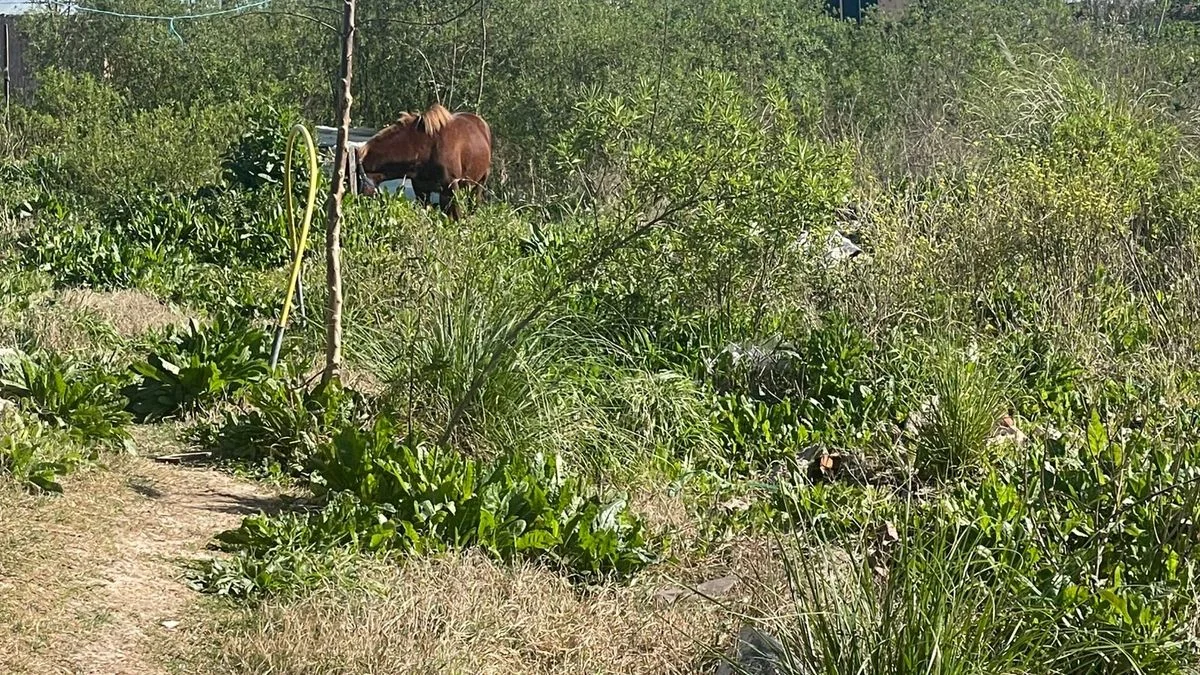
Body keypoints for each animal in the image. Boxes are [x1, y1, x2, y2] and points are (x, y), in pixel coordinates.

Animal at [354, 103, 492, 219]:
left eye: (357, 179)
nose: (358, 205)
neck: (425, 147)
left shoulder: (451, 188)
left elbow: (455, 217)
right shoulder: (421, 189)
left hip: (479, 183)